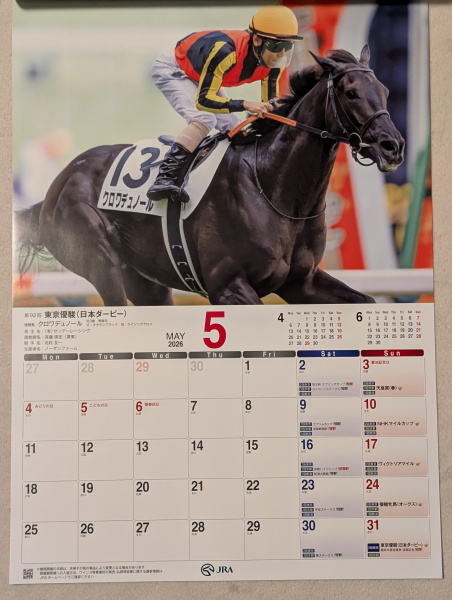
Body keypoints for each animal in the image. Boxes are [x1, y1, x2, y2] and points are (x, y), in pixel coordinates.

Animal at [16, 46, 404, 306]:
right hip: (102, 263)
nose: (393, 146)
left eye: (385, 92)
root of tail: (57, 185)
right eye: (351, 93)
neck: (275, 188)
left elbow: (367, 302)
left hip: (146, 280)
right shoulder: (228, 286)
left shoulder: (301, 281)